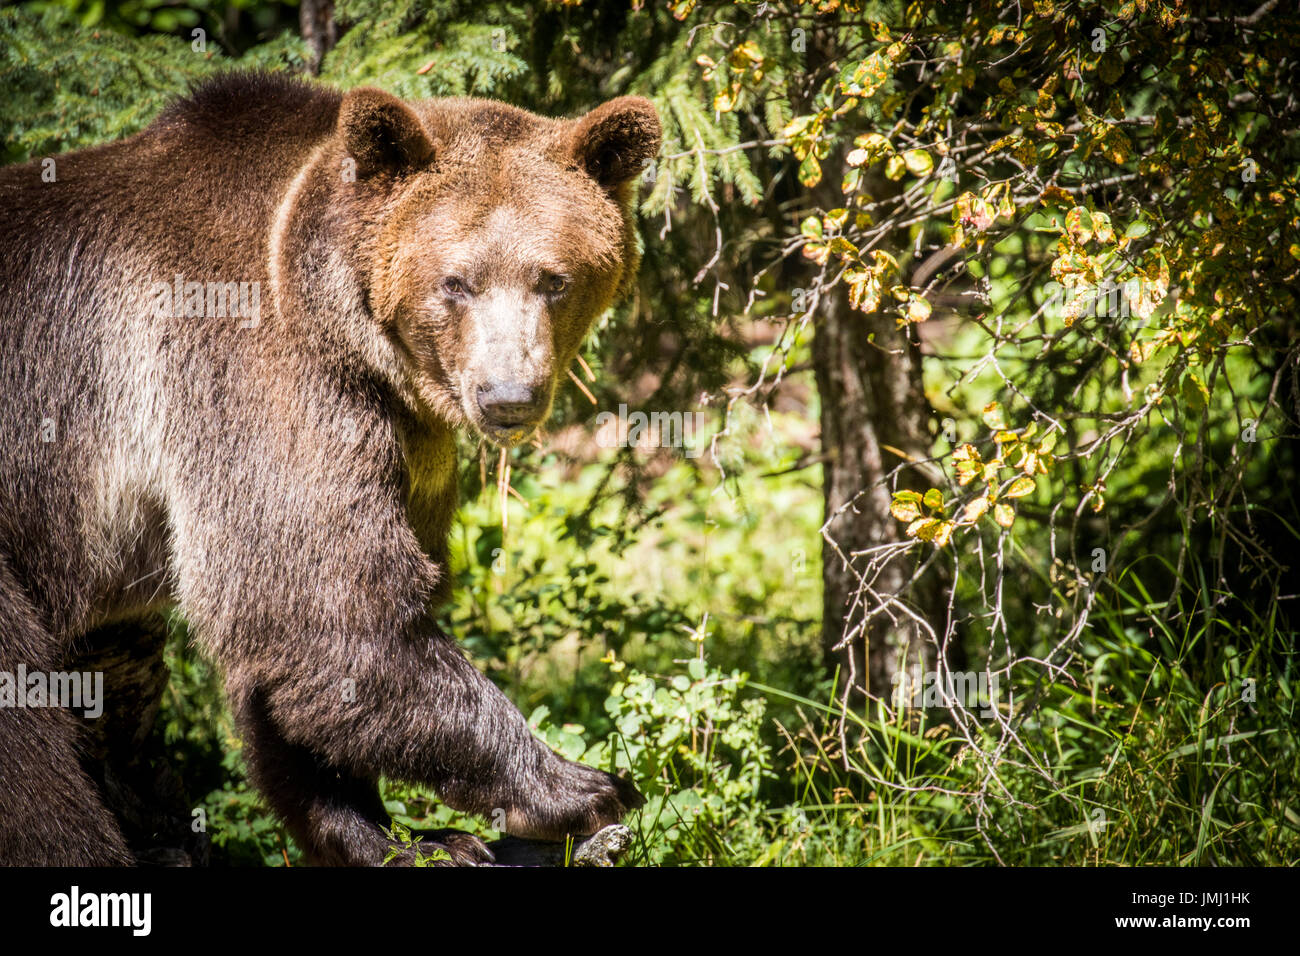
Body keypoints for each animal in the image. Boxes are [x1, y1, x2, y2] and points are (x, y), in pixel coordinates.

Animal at [0, 72, 660, 868]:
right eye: (457, 282)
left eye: (554, 279)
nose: (507, 396)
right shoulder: (245, 369)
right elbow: (319, 608)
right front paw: (578, 787)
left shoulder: (403, 442)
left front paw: (406, 837)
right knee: (29, 746)